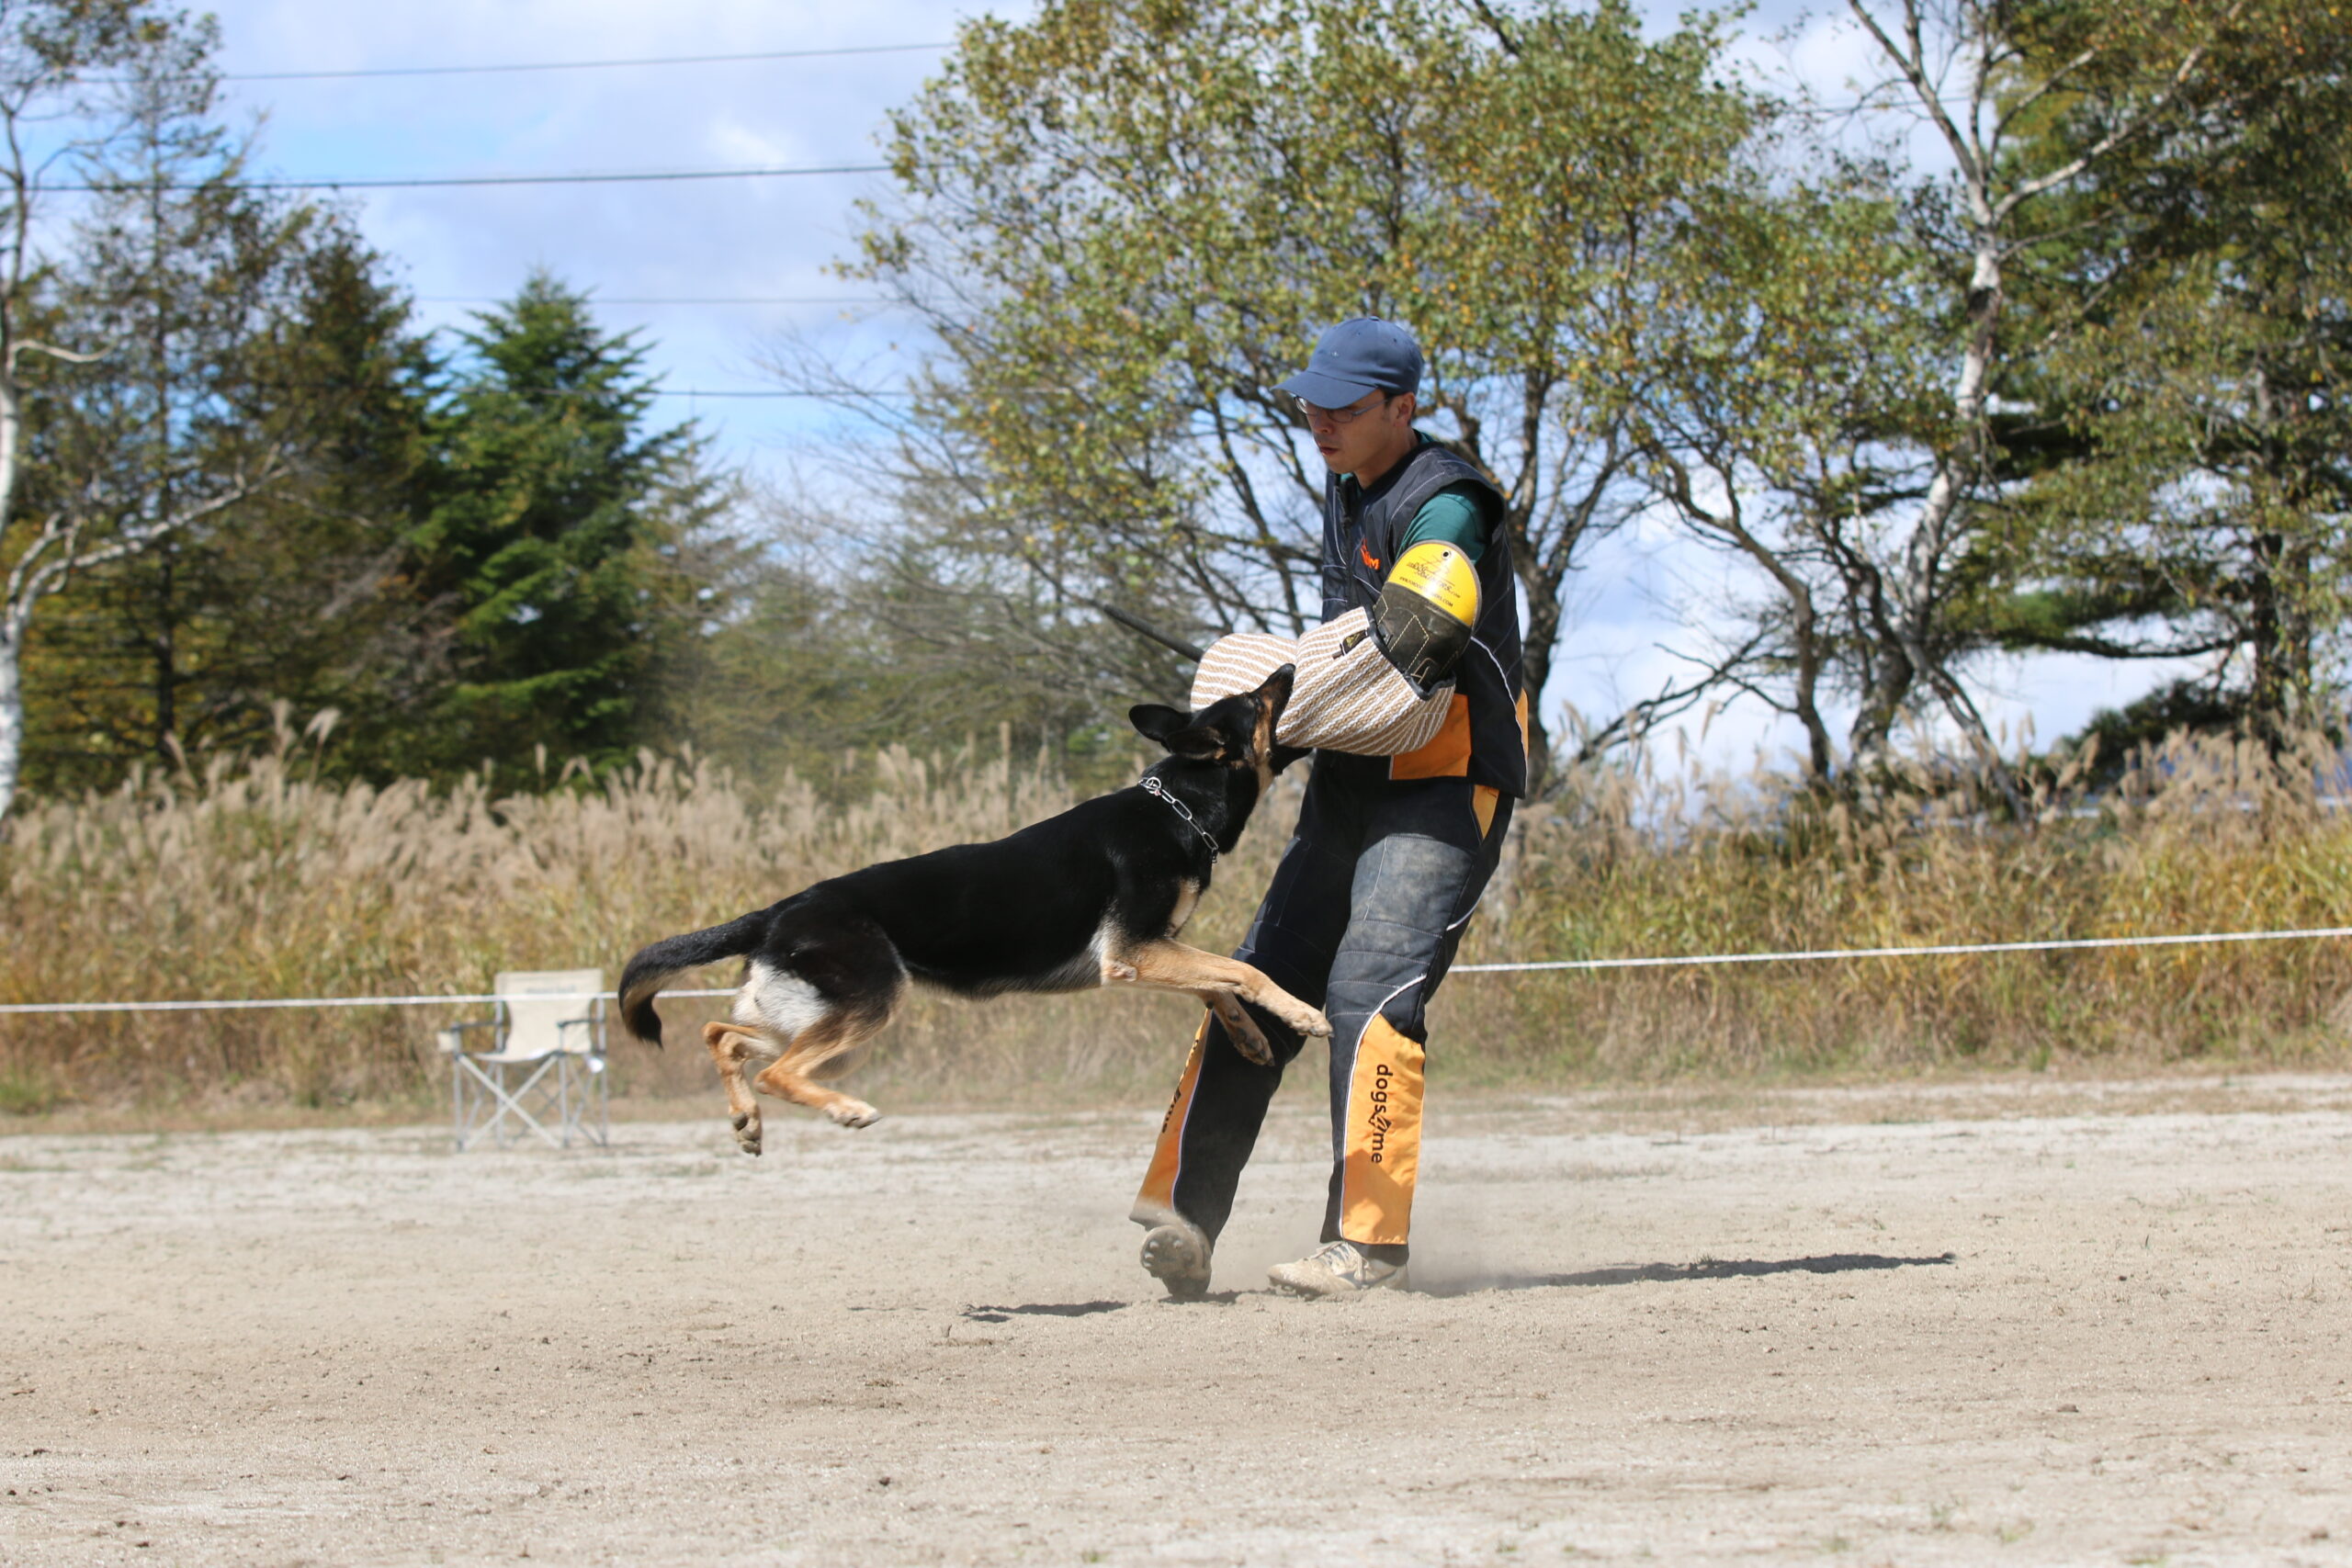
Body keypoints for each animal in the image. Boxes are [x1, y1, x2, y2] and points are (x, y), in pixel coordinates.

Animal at [620, 662, 1326, 1152]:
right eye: (1260, 700)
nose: (1290, 665)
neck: (1178, 806)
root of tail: (776, 911)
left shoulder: (1152, 953)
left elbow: (1217, 984)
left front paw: (1250, 1035)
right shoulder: (1133, 954)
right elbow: (1242, 971)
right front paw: (1301, 1013)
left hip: (814, 1018)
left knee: (722, 1035)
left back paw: (746, 1119)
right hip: (867, 1007)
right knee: (773, 1069)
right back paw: (843, 1109)